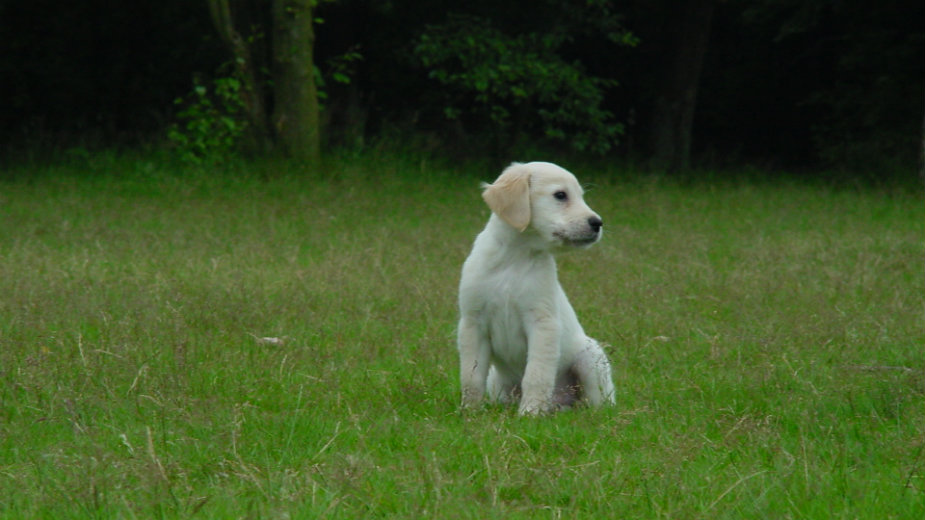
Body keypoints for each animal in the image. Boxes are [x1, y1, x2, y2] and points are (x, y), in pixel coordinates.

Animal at [454, 162, 612, 414]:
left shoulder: (543, 323)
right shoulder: (472, 323)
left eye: (581, 196)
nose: (597, 223)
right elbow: (471, 375)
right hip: (497, 382)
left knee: (598, 401)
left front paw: (530, 413)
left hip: (589, 357)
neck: (514, 258)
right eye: (560, 195)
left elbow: (536, 374)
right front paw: (470, 411)